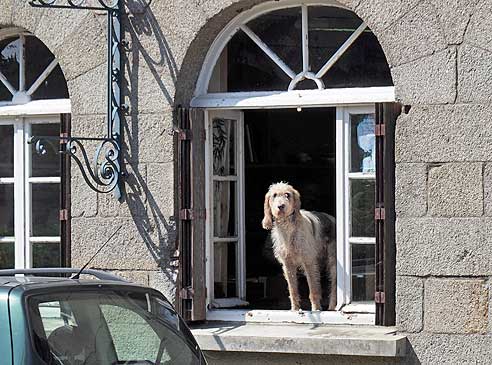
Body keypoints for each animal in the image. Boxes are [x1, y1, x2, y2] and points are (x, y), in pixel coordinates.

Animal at [262, 182, 338, 310]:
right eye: (274, 195)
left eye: (287, 195)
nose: (281, 206)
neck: (288, 227)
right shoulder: (288, 264)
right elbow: (293, 289)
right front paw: (295, 309)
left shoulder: (309, 262)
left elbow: (313, 289)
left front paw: (316, 309)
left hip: (333, 263)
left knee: (334, 285)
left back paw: (332, 307)